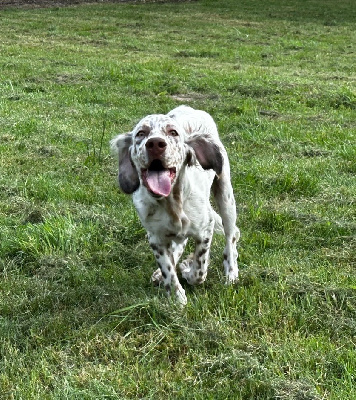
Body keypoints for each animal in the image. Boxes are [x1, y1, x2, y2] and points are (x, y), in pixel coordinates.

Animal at [110, 104, 239, 304]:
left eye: (173, 132)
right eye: (141, 133)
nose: (155, 144)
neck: (172, 203)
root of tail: (190, 108)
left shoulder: (206, 229)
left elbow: (199, 271)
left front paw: (187, 269)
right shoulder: (155, 238)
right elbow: (168, 270)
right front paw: (177, 300)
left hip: (226, 197)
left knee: (231, 238)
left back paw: (231, 273)